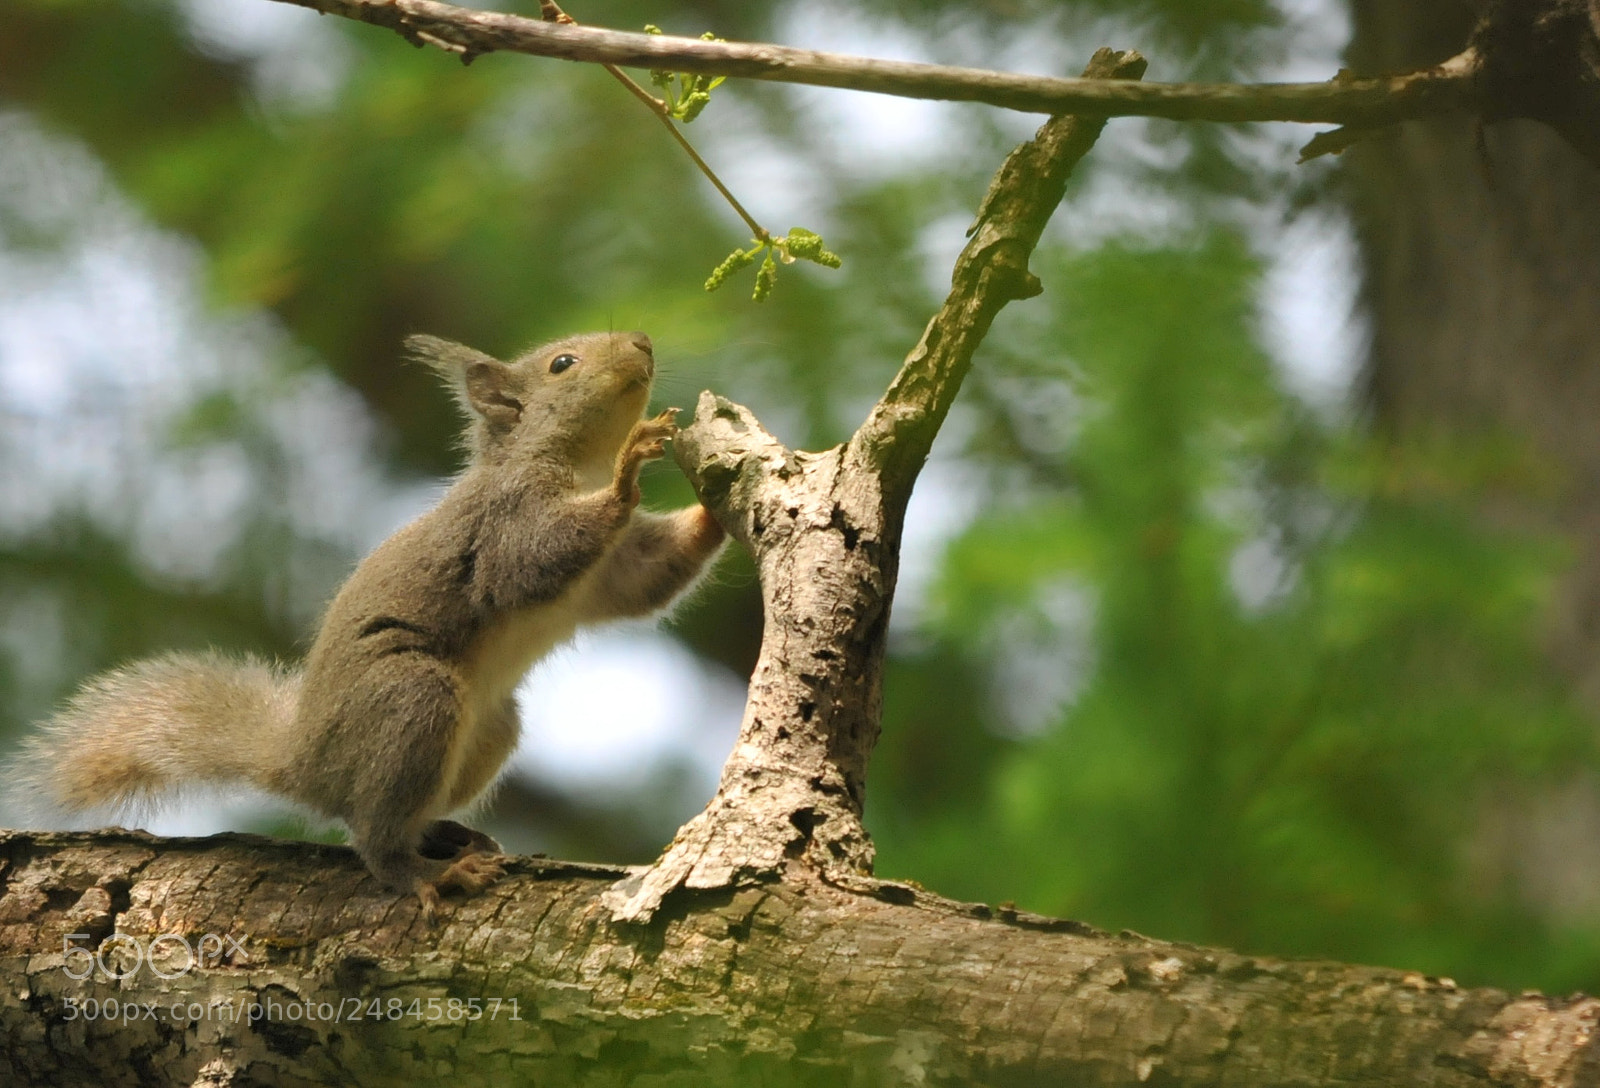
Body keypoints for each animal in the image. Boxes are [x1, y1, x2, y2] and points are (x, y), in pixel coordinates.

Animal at [12, 330, 726, 920]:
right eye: (562, 364)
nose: (642, 341)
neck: (577, 465)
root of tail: (303, 764)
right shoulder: (504, 520)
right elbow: (533, 561)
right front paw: (631, 466)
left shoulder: (614, 571)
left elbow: (648, 580)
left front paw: (718, 503)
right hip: (412, 698)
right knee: (373, 837)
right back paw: (426, 873)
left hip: (489, 728)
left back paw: (450, 836)